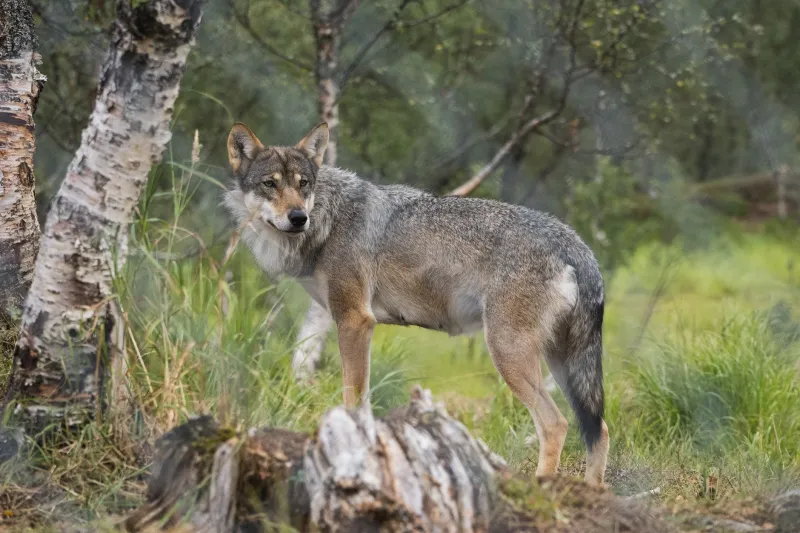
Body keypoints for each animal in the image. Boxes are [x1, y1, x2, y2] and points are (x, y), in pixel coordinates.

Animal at [224, 122, 609, 485]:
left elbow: (354, 401)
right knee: (599, 429)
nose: (297, 217)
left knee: (556, 424)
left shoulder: (354, 320)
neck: (328, 219)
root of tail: (576, 242)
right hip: (560, 363)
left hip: (509, 353)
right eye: (270, 184)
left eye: (303, 184)